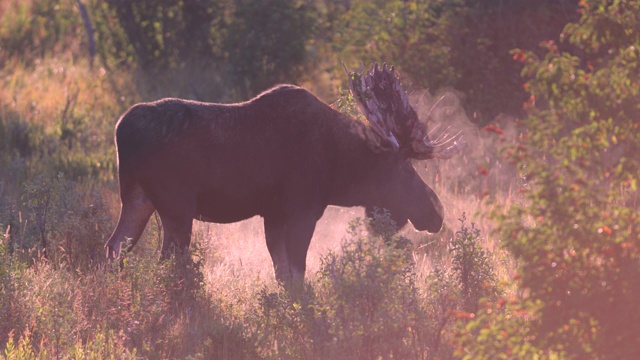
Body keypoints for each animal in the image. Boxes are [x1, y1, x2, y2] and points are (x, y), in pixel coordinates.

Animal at [106, 64, 464, 284]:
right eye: (404, 170)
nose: (436, 211)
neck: (340, 167)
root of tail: (120, 129)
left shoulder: (273, 215)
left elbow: (282, 274)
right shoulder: (302, 210)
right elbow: (297, 274)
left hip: (138, 199)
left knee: (114, 247)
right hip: (176, 207)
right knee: (167, 261)